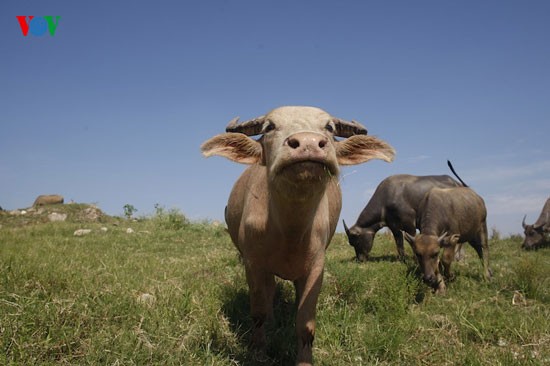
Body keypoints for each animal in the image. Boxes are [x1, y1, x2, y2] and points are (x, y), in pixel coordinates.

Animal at [201, 104, 394, 364]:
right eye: (269, 127)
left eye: (329, 127)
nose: (308, 143)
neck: (289, 233)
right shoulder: (253, 263)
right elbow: (258, 313)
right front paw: (258, 351)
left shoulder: (315, 268)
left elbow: (305, 325)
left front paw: (304, 359)